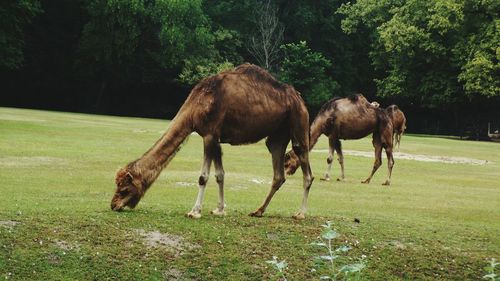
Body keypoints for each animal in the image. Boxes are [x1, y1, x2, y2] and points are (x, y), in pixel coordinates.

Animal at [110, 63, 312, 219]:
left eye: (124, 188)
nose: (113, 205)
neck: (196, 106)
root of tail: (299, 98)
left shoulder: (209, 135)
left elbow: (203, 176)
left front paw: (194, 211)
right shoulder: (216, 138)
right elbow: (220, 174)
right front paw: (219, 210)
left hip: (299, 124)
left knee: (306, 169)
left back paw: (300, 214)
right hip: (278, 136)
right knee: (278, 173)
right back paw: (258, 211)